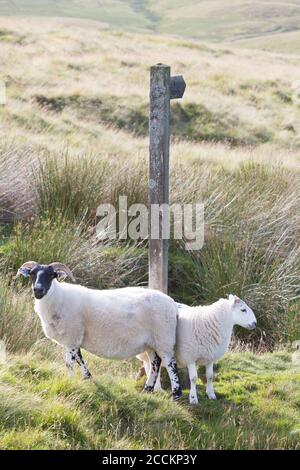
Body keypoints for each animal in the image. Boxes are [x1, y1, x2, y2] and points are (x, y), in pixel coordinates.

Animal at [18, 260, 184, 400]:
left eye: (51, 275)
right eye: (32, 273)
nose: (38, 290)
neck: (58, 298)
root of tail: (172, 303)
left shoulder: (72, 337)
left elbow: (69, 362)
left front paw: (69, 381)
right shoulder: (75, 338)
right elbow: (79, 358)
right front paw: (87, 377)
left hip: (164, 338)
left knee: (170, 363)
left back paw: (176, 395)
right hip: (151, 343)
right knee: (155, 362)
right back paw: (147, 389)